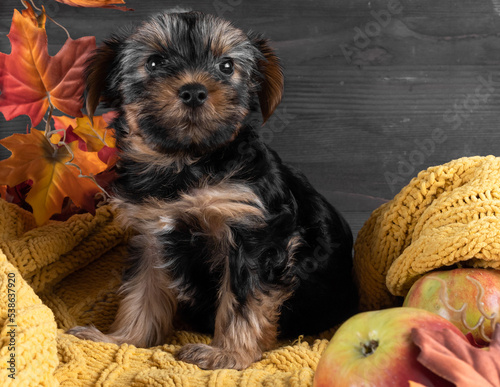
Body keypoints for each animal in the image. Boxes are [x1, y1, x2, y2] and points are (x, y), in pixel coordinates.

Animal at [69, 10, 360, 372]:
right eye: (154, 63)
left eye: (226, 66)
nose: (194, 90)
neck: (186, 162)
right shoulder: (151, 235)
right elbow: (141, 290)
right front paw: (123, 339)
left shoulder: (253, 236)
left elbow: (243, 301)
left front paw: (228, 355)